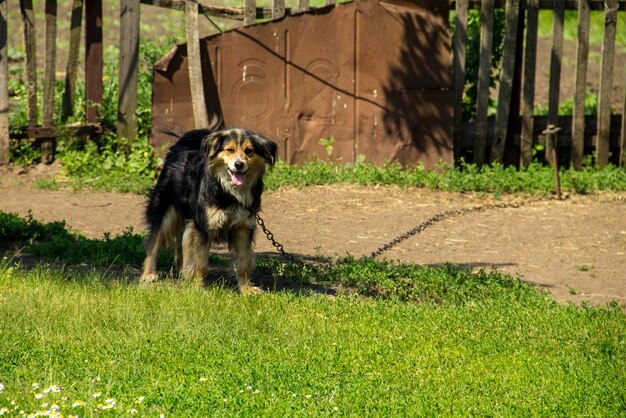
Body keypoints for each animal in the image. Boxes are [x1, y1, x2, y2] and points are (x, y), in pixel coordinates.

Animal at [143, 127, 280, 294]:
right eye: (229, 150)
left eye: (249, 151)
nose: (239, 164)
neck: (229, 192)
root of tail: (181, 144)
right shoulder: (204, 226)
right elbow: (201, 262)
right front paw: (199, 288)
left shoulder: (243, 226)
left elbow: (244, 262)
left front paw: (246, 289)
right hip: (165, 208)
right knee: (154, 242)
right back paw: (148, 274)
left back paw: (182, 271)